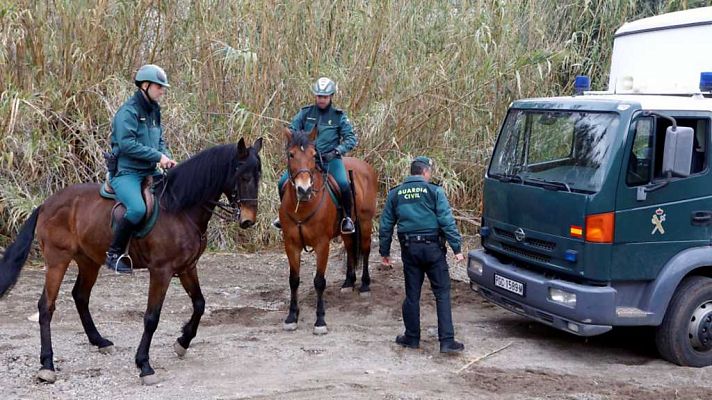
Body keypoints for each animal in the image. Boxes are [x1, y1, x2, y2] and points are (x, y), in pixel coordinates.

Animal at [0, 138, 264, 384]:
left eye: (258, 176)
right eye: (243, 176)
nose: (248, 220)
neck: (180, 209)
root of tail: (46, 204)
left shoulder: (188, 267)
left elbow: (199, 304)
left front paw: (183, 341)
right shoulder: (161, 271)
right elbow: (151, 317)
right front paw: (144, 365)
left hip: (88, 260)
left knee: (80, 296)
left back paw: (99, 341)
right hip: (57, 260)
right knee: (46, 306)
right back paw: (47, 366)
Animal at [278, 128, 378, 334]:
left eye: (313, 155)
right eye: (291, 154)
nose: (304, 189)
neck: (302, 206)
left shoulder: (322, 244)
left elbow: (319, 281)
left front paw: (320, 321)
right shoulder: (291, 244)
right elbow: (294, 280)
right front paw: (292, 317)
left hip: (365, 222)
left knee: (365, 250)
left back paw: (364, 286)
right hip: (348, 231)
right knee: (350, 249)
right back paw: (348, 283)